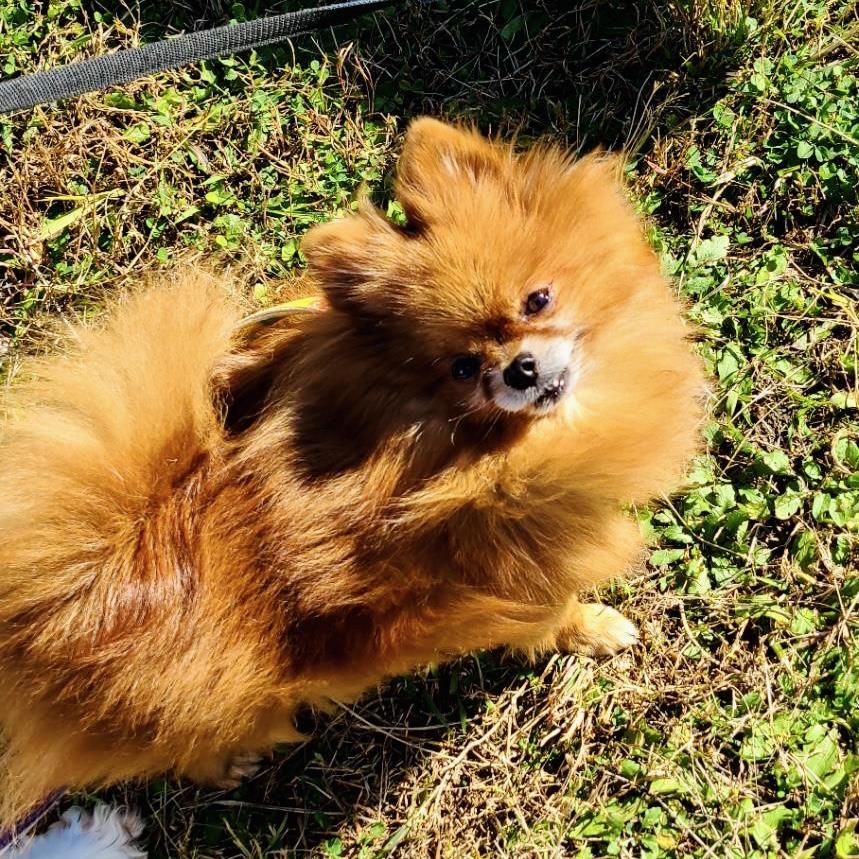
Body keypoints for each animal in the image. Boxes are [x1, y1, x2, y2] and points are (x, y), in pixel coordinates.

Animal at [0, 117, 705, 834]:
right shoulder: (524, 583)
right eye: (460, 367)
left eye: (538, 298)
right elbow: (556, 615)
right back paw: (227, 764)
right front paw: (595, 629)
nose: (521, 369)